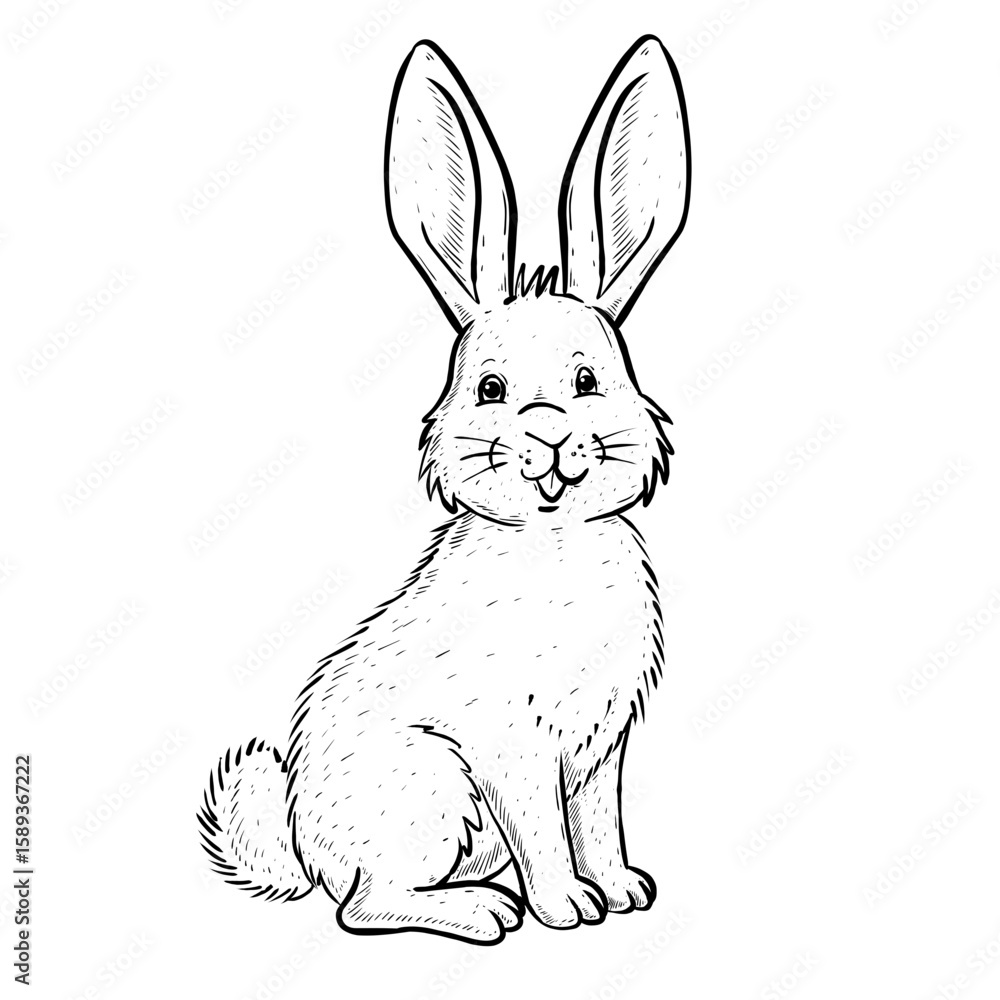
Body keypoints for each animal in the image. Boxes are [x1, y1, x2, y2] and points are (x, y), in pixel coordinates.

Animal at [200, 34, 691, 944]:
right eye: (489, 389)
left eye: (588, 380)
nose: (547, 434)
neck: (550, 541)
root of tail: (308, 850)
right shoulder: (515, 747)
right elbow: (545, 829)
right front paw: (569, 908)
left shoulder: (599, 749)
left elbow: (598, 820)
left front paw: (623, 889)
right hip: (433, 789)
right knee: (365, 905)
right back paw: (488, 912)